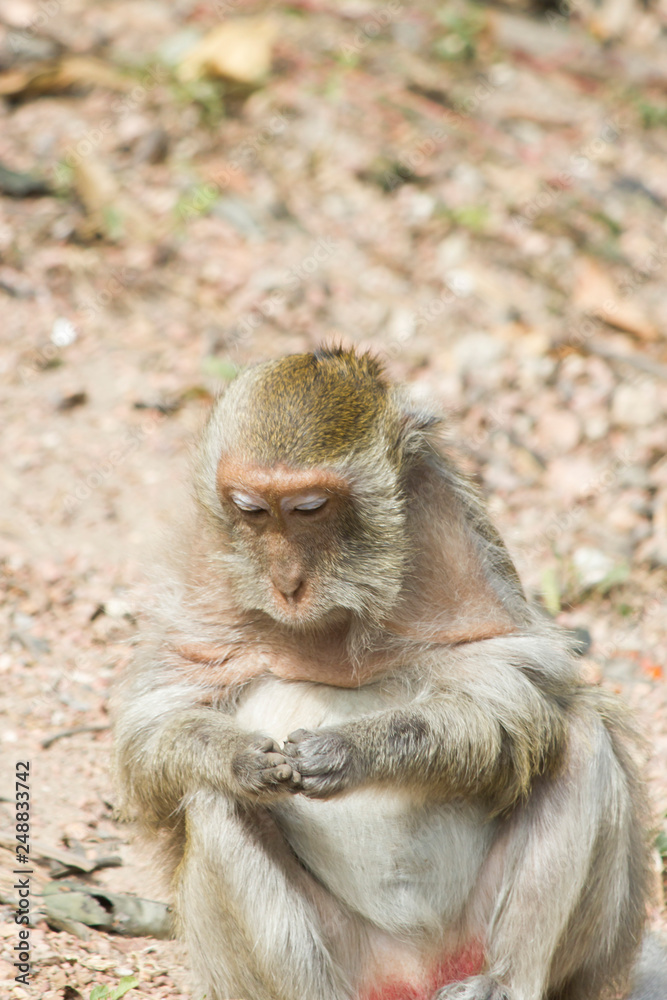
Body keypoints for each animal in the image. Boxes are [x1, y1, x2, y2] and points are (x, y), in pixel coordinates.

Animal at [114, 347, 664, 1000]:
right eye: (251, 510)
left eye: (308, 508)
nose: (287, 582)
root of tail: (417, 974)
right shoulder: (203, 568)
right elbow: (157, 723)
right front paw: (242, 759)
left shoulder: (452, 529)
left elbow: (515, 688)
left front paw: (355, 750)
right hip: (353, 962)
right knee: (213, 800)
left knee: (577, 735)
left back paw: (503, 982)